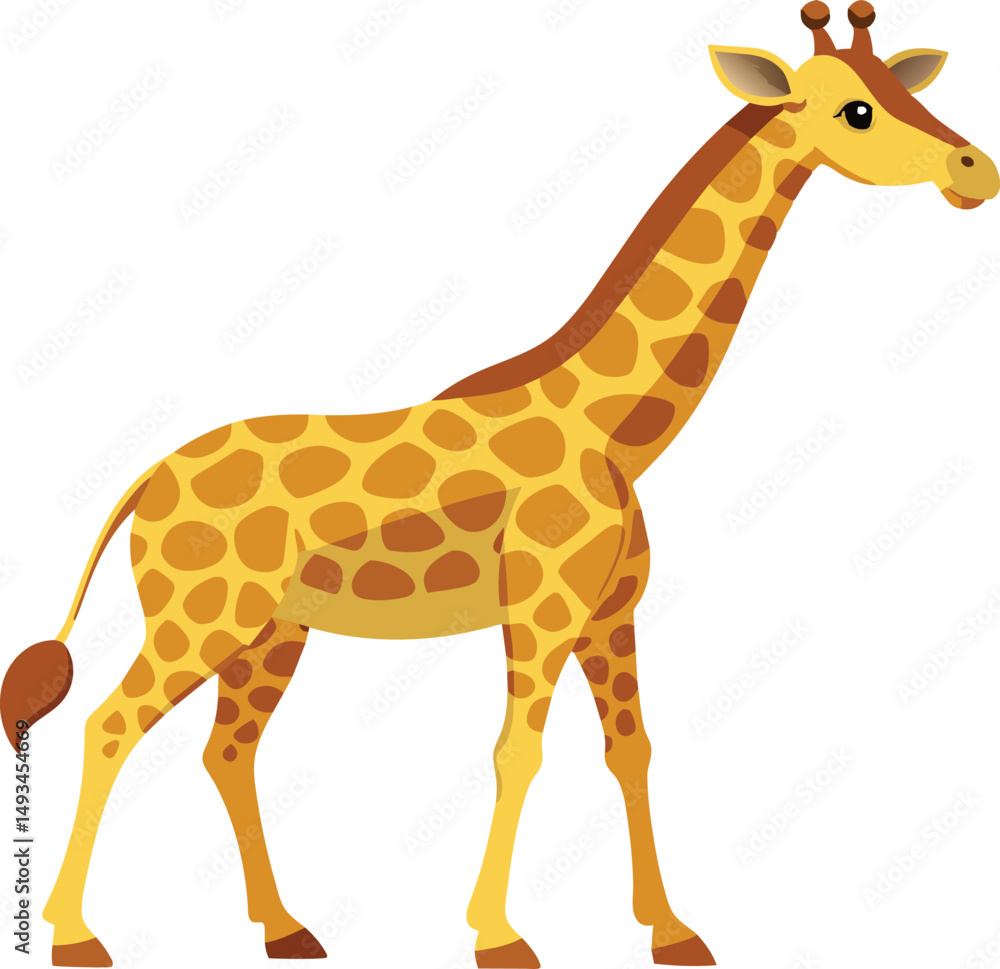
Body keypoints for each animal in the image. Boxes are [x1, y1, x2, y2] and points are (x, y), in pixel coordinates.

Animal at [1, 4, 996, 967]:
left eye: (899, 86)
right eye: (855, 110)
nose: (975, 170)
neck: (617, 426)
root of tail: (144, 481)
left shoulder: (609, 612)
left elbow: (631, 750)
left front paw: (672, 932)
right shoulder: (542, 607)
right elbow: (518, 750)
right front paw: (501, 936)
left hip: (274, 629)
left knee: (226, 750)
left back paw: (285, 929)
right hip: (200, 614)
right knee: (110, 723)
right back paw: (77, 936)